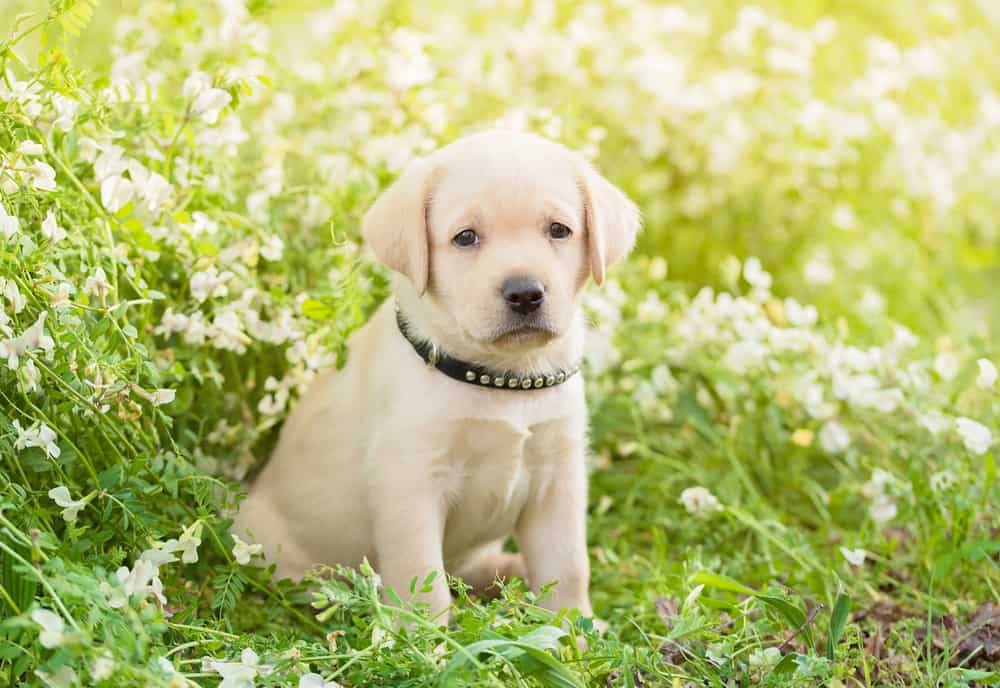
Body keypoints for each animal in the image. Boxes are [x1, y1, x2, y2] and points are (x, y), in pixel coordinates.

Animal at [235, 130, 640, 624]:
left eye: (559, 230)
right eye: (465, 237)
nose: (524, 293)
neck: (502, 378)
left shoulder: (558, 476)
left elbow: (567, 566)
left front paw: (576, 626)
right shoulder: (410, 478)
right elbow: (422, 578)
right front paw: (423, 637)